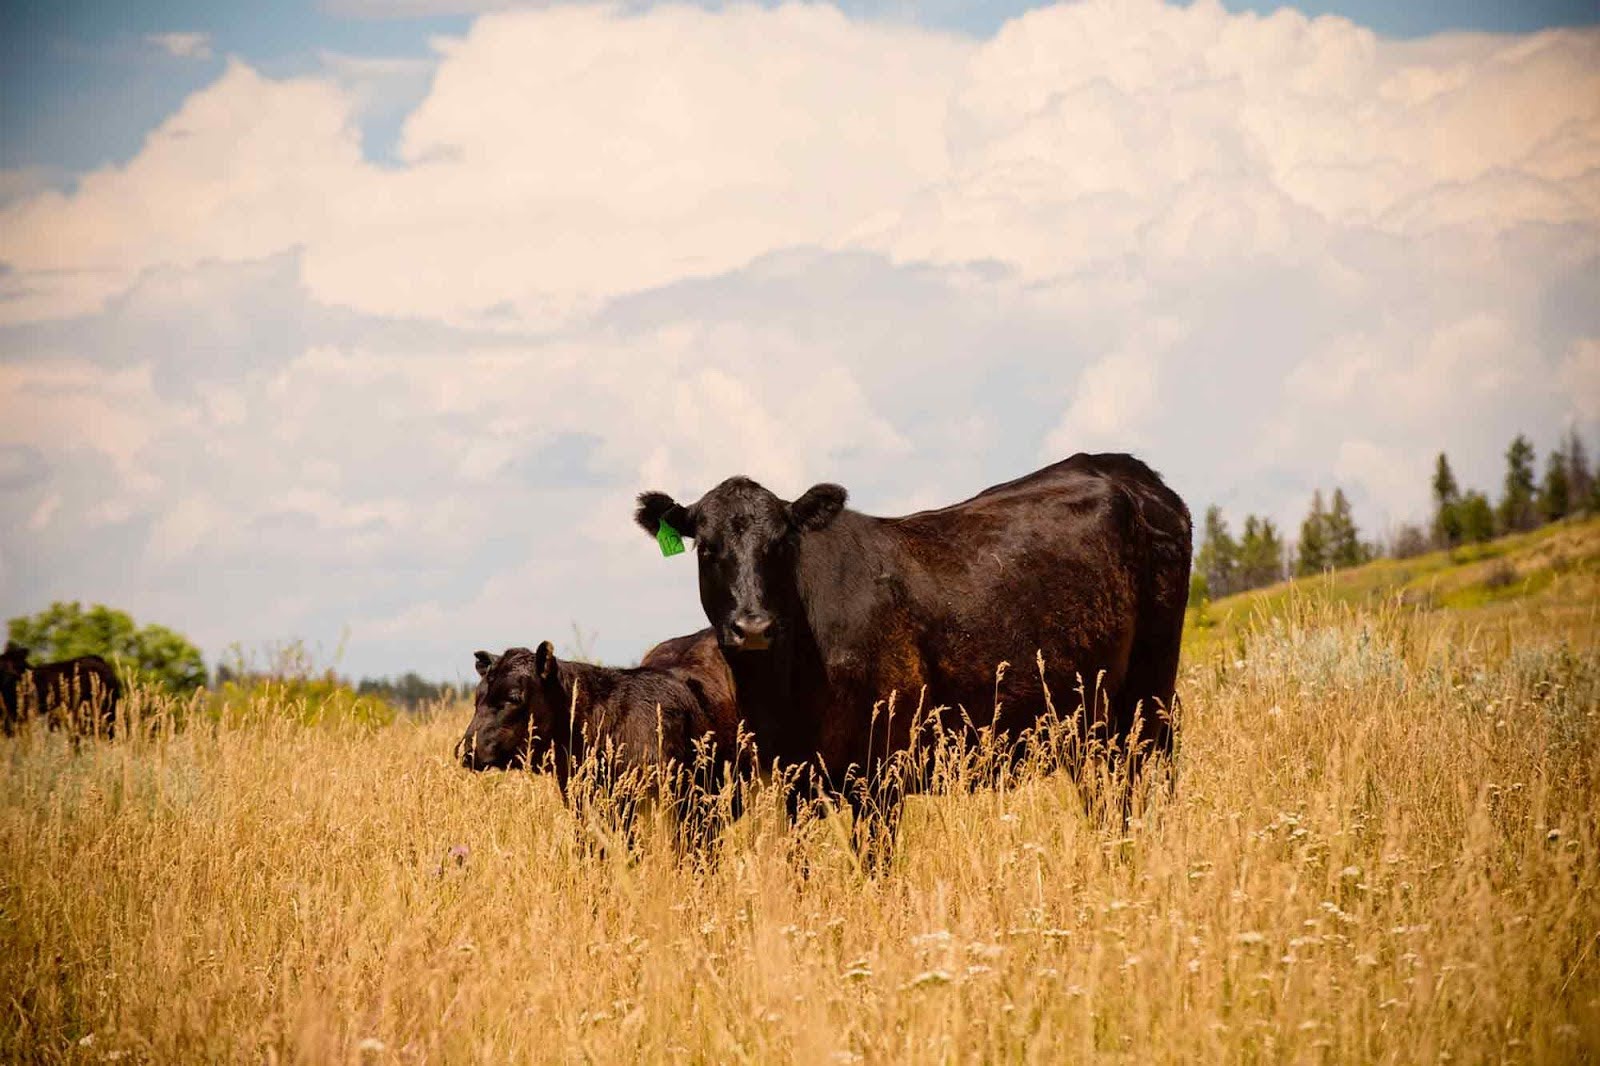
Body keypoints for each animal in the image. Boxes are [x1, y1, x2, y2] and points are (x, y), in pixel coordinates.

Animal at [633, 452, 1192, 864]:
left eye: (782, 543)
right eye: (707, 548)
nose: (753, 626)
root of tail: (1125, 469)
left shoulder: (882, 773)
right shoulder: (796, 780)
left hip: (1148, 698)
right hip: (1088, 724)